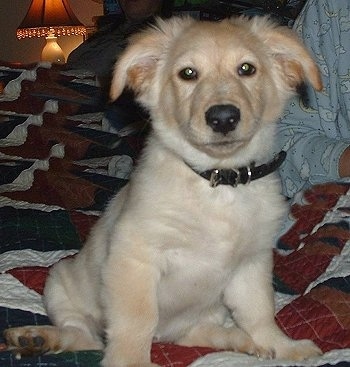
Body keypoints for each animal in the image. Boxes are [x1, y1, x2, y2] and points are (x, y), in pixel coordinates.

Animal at [4, 15, 322, 367]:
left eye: (247, 69)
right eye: (188, 74)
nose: (223, 117)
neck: (217, 183)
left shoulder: (251, 263)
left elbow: (260, 311)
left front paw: (280, 345)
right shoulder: (135, 256)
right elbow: (137, 319)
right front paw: (130, 361)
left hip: (205, 313)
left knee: (199, 334)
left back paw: (242, 340)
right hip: (59, 283)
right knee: (85, 336)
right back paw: (37, 337)